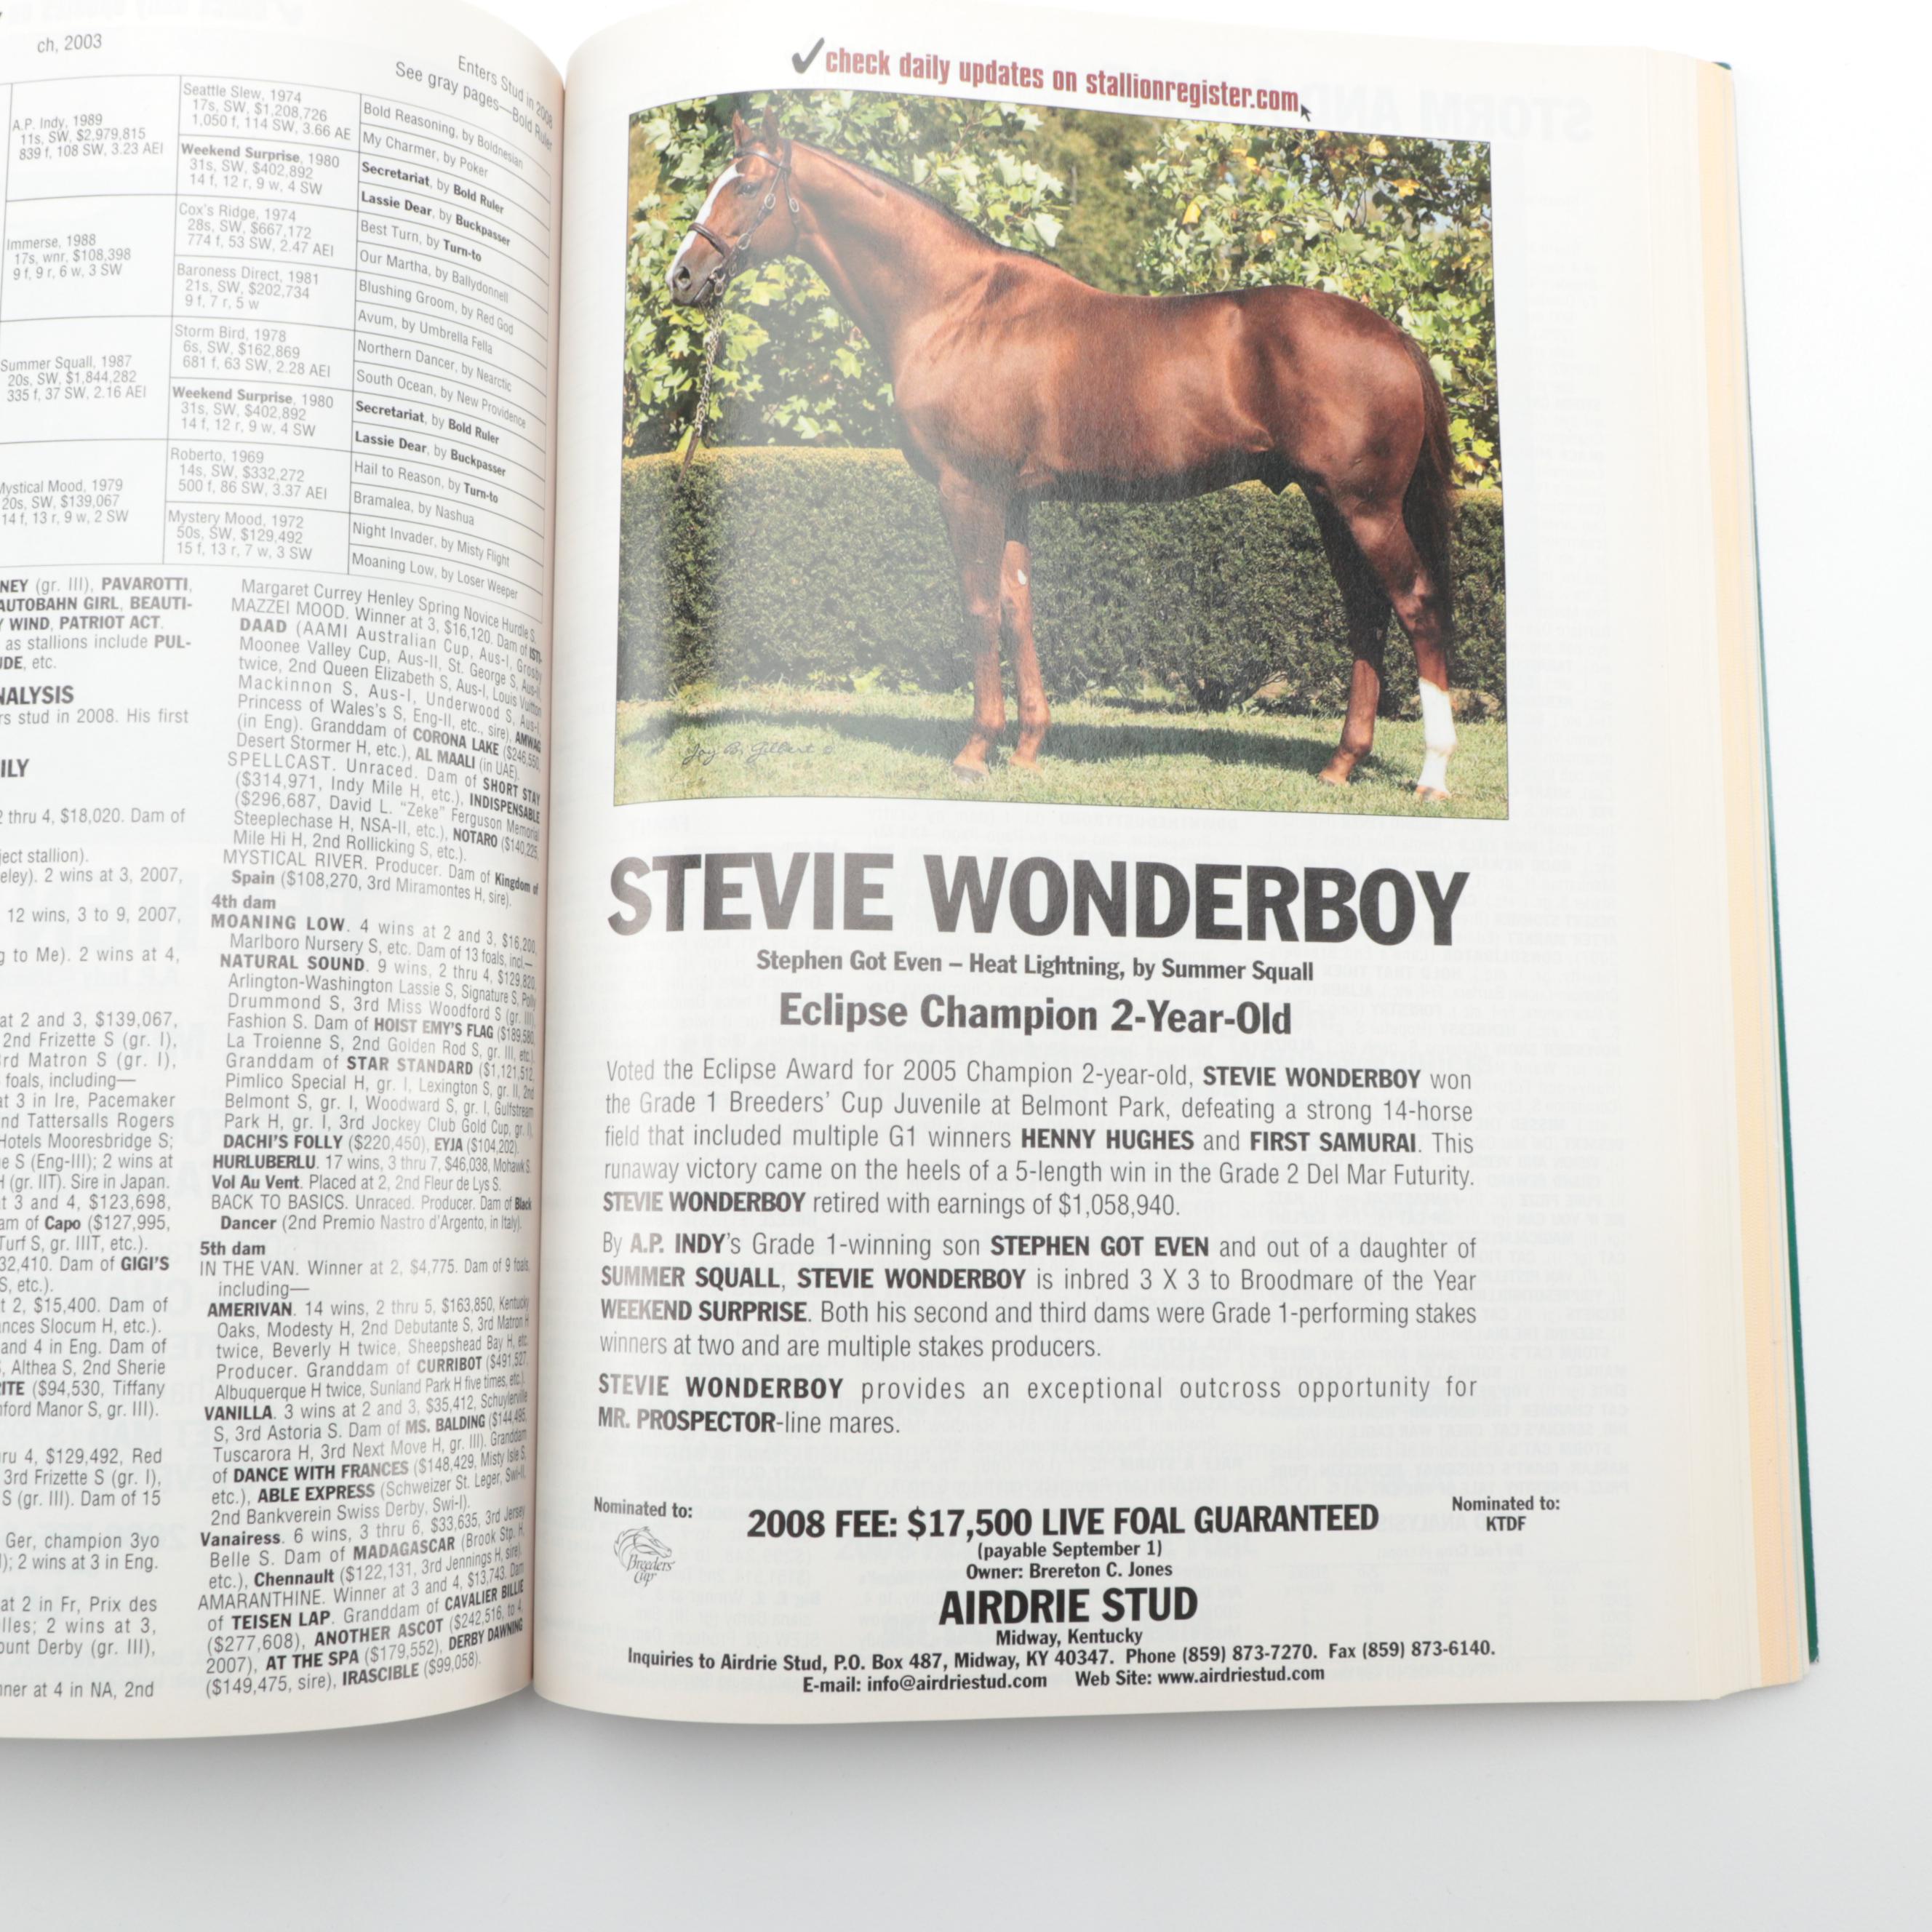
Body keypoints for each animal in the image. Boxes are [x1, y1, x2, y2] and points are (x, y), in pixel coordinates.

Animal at [668, 106, 1461, 799]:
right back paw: (1340, 764)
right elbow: (1018, 607)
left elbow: (978, 606)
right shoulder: (1014, 497)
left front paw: (975, 751)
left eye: (745, 183)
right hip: (1331, 506)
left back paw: (1432, 774)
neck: (957, 307)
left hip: (1365, 509)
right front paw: (1026, 748)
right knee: (1366, 614)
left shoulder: (968, 489)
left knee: (1415, 608)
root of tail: (1394, 337)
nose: (683, 276)